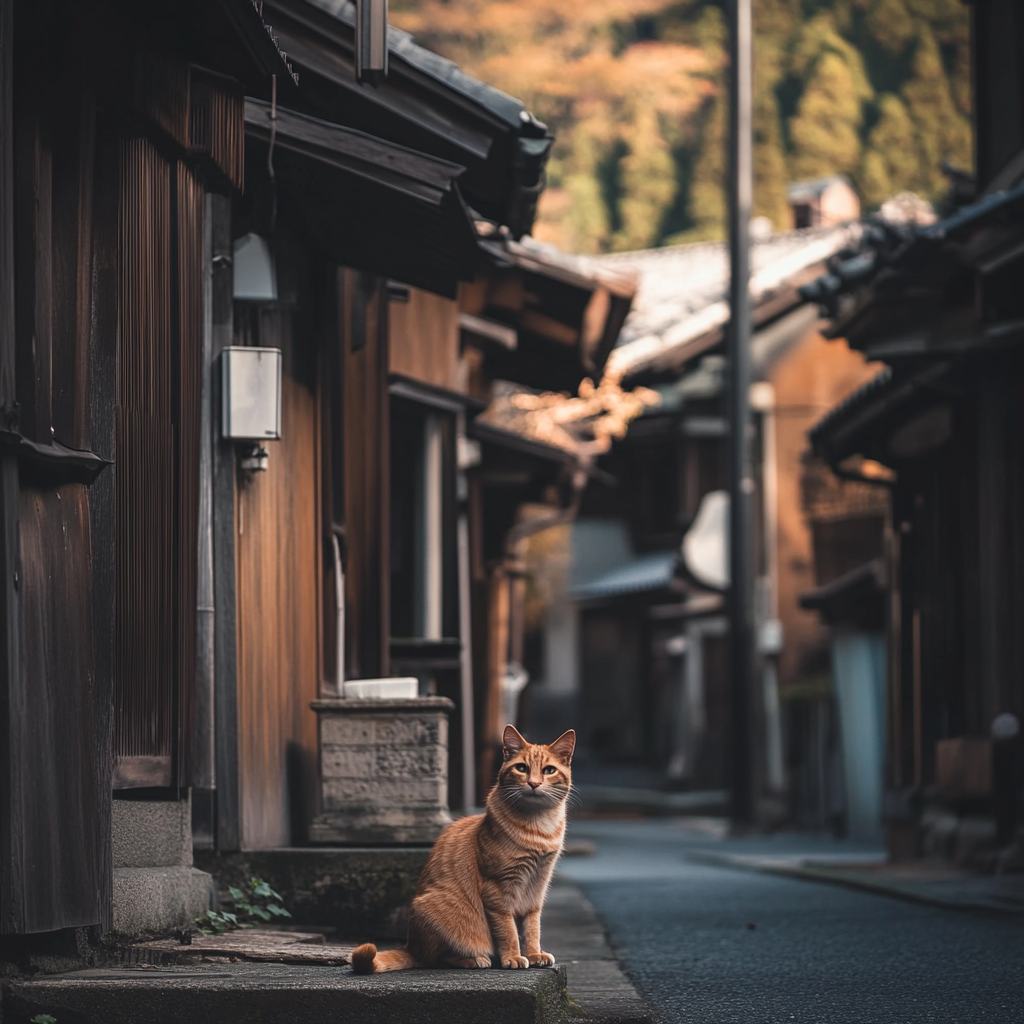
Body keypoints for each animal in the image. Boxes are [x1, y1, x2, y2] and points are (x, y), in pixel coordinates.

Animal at [352, 724, 577, 970]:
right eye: (521, 768)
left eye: (548, 770)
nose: (534, 783)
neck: (538, 828)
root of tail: (411, 946)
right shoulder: (497, 890)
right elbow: (508, 930)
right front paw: (513, 957)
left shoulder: (537, 888)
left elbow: (532, 927)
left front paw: (535, 954)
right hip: (436, 914)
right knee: (437, 959)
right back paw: (476, 959)